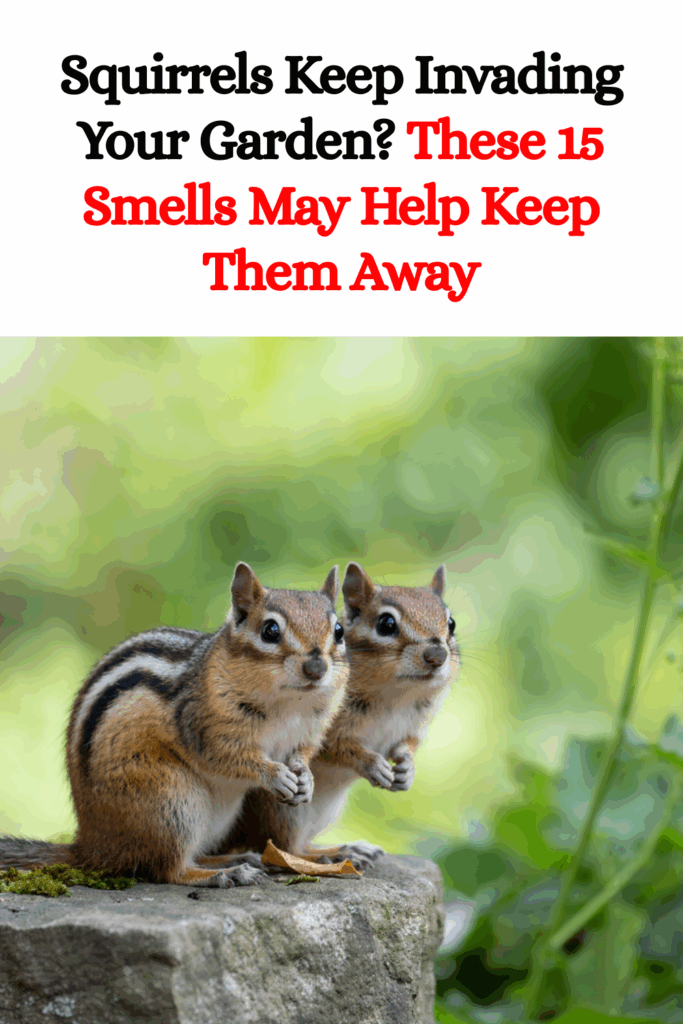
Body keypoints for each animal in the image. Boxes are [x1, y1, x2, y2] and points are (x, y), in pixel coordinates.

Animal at [0, 563, 348, 888]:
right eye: (270, 630)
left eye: (339, 630)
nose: (316, 667)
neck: (289, 703)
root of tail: (93, 845)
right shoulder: (200, 725)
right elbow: (229, 757)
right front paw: (275, 775)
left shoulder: (308, 731)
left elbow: (302, 753)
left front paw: (305, 777)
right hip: (172, 800)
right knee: (169, 869)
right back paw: (224, 873)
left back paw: (235, 858)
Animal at [227, 561, 459, 869]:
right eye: (386, 624)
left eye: (451, 623)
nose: (437, 655)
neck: (398, 697)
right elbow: (335, 748)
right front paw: (371, 763)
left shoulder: (415, 726)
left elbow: (407, 746)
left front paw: (407, 769)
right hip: (284, 808)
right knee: (283, 848)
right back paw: (336, 854)